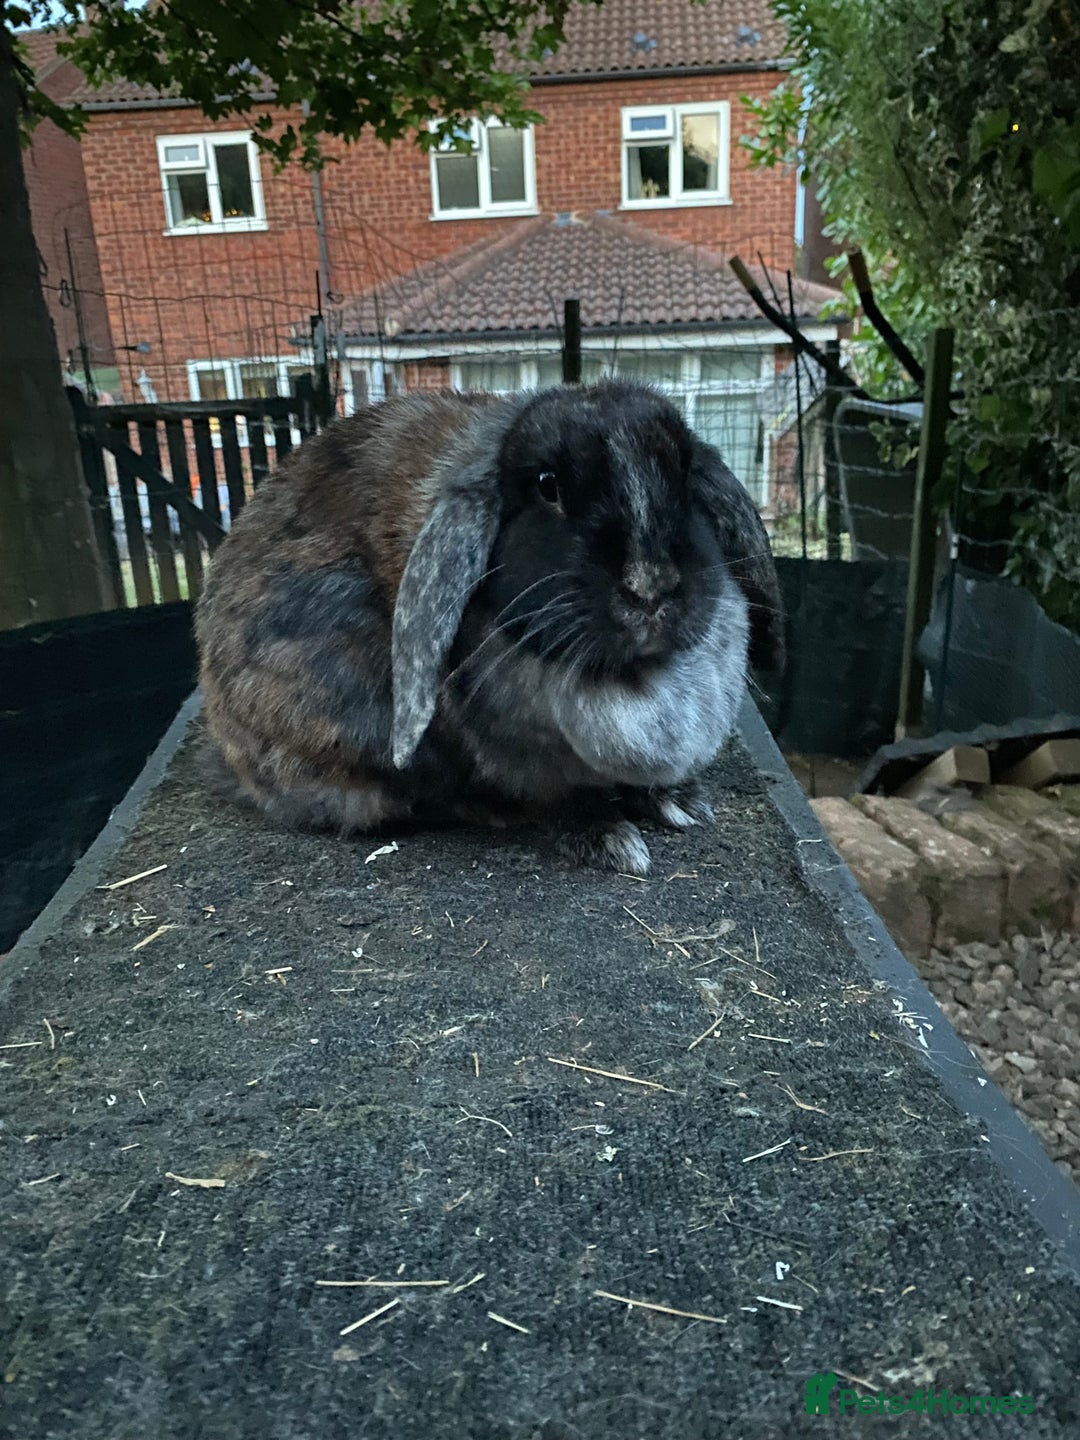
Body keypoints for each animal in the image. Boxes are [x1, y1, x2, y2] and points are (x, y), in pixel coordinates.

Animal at [195, 380, 783, 876]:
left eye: (683, 471)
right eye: (548, 487)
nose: (650, 587)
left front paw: (680, 802)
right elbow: (562, 797)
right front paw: (608, 839)